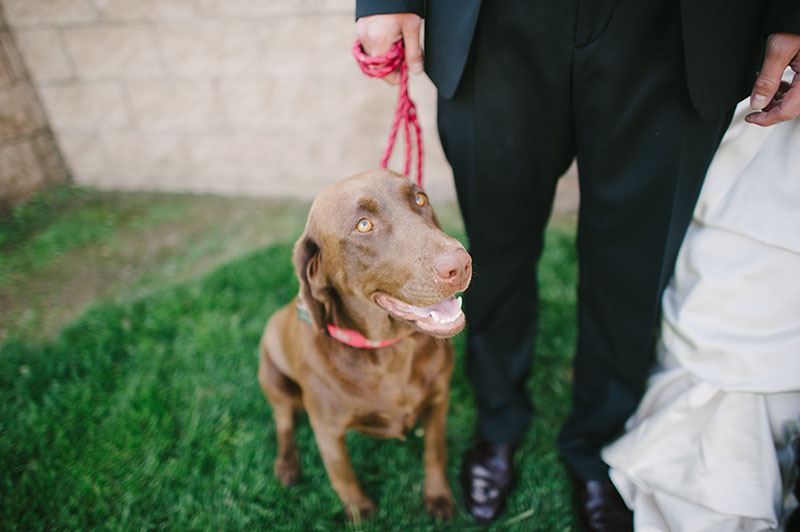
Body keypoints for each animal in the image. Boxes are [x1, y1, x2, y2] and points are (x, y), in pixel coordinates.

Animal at [256, 167, 472, 520]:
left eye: (419, 198)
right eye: (364, 225)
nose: (460, 263)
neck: (390, 352)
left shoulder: (440, 399)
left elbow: (434, 451)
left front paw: (438, 496)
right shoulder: (327, 429)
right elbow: (342, 474)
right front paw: (360, 512)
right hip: (272, 377)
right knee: (284, 422)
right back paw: (287, 466)